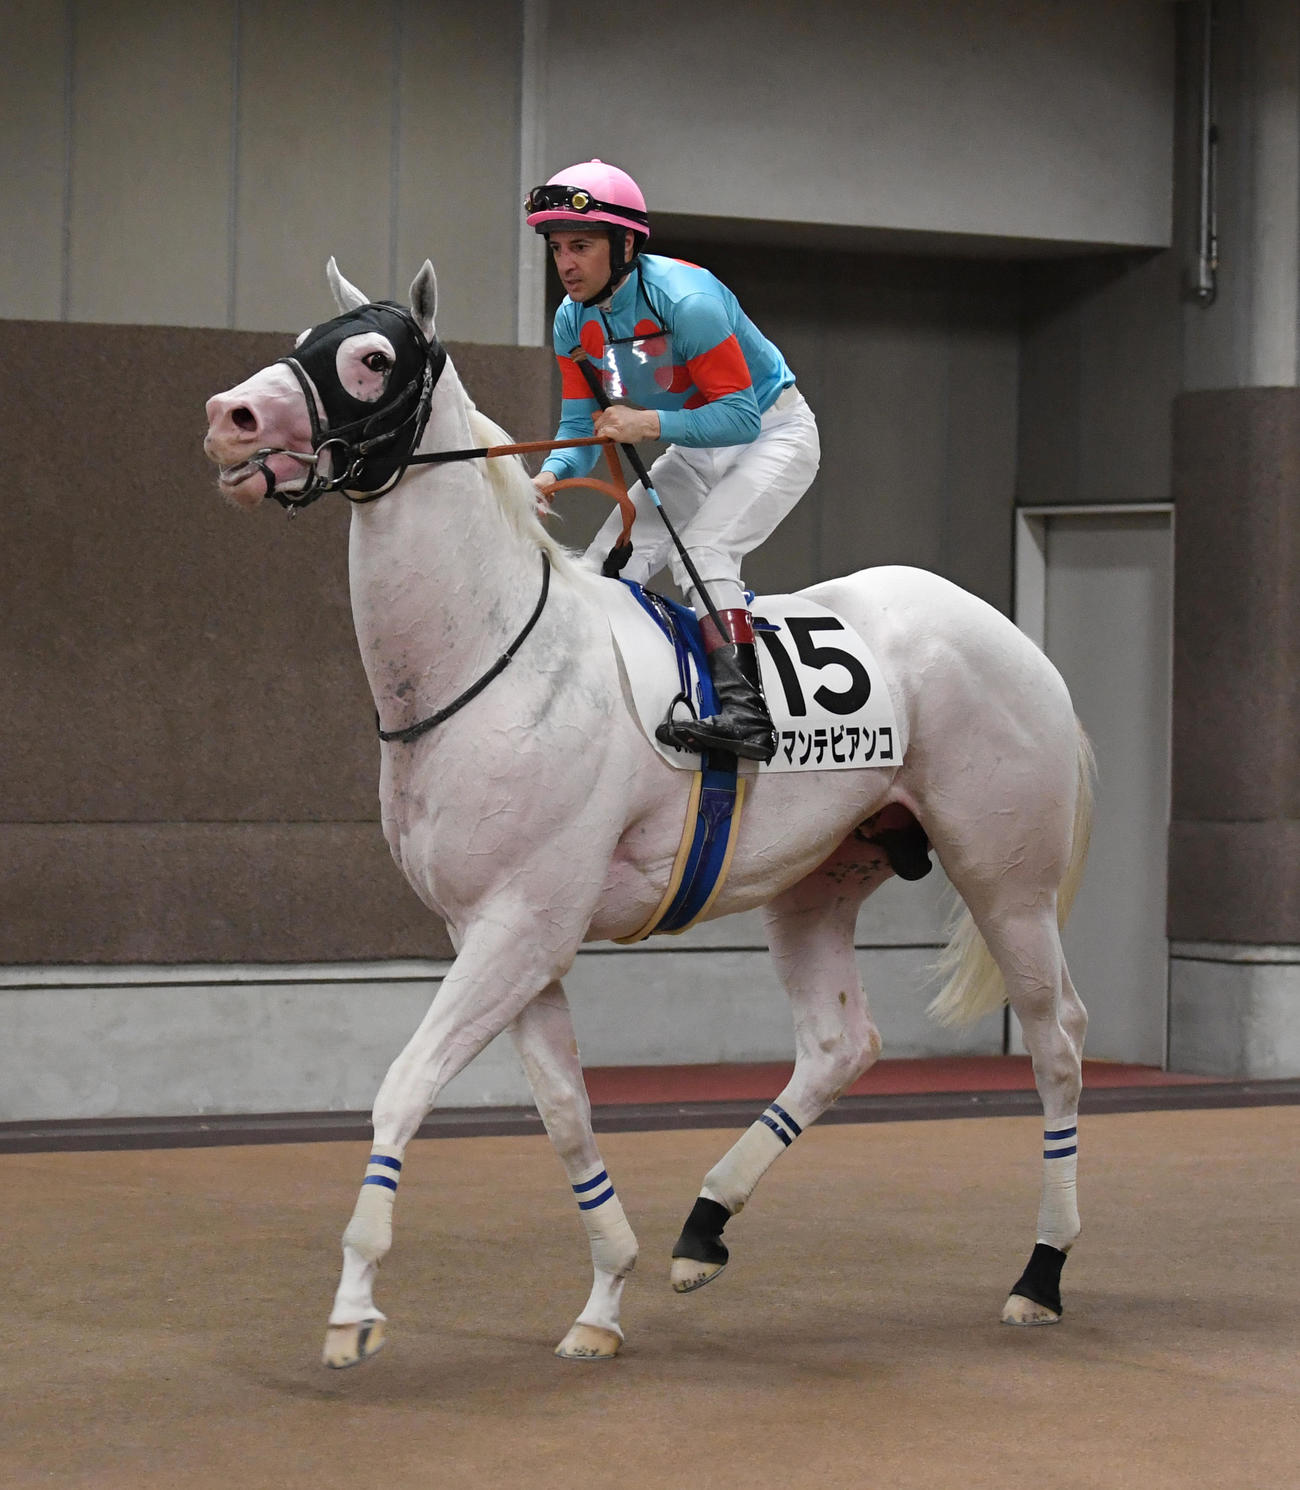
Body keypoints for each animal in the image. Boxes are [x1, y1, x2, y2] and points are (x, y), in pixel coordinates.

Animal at [202, 258, 1094, 1368]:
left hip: (1006, 878)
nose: (228, 419)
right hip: (818, 880)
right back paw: (704, 1227)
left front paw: (355, 1302)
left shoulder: (523, 921)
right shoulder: (496, 930)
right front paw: (603, 1297)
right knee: (841, 1044)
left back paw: (1039, 1272)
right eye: (302, 339)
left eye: (370, 356)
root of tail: (1015, 638)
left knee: (1058, 1043)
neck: (490, 654)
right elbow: (566, 1113)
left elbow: (405, 1084)